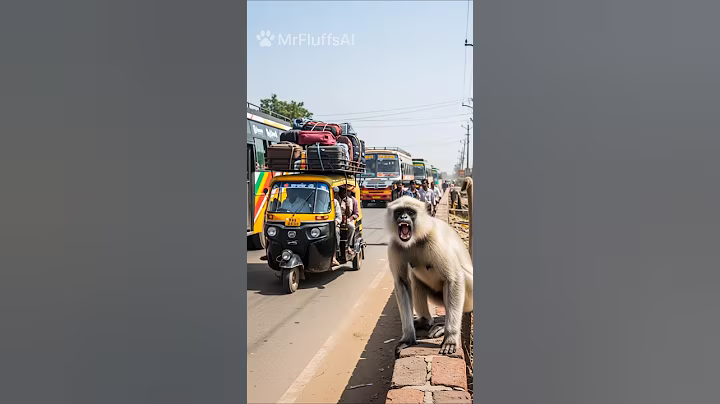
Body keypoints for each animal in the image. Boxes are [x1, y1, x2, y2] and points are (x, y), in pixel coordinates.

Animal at [386, 196, 473, 357]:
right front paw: (408, 338)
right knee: (414, 279)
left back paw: (443, 327)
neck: (416, 239)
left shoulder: (435, 239)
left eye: (410, 212)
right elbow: (402, 282)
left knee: (458, 278)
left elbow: (454, 279)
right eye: (399, 212)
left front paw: (451, 338)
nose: (403, 217)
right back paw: (425, 321)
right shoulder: (395, 245)